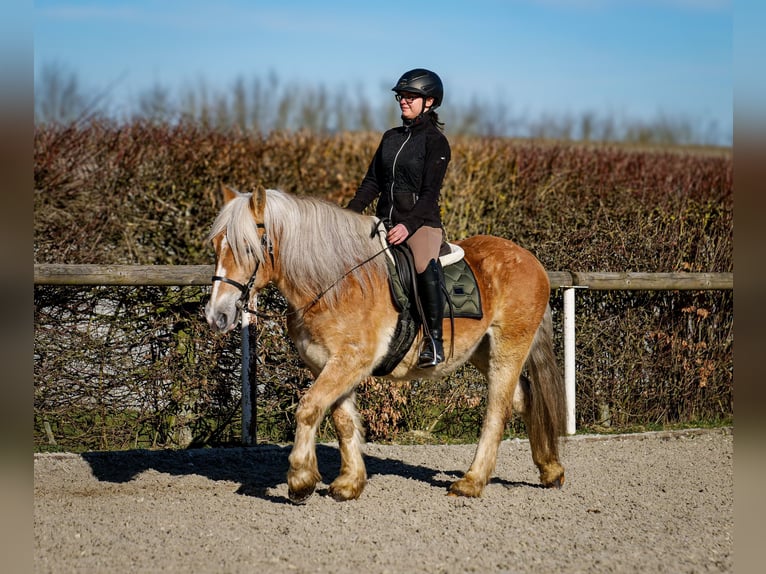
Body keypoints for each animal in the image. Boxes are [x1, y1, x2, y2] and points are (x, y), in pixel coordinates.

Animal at [207, 184, 568, 504]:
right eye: (216, 245)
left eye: (248, 248)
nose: (217, 314)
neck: (334, 284)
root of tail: (531, 260)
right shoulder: (327, 363)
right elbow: (342, 420)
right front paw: (349, 483)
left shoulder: (351, 360)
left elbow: (309, 408)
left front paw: (300, 480)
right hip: (482, 351)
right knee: (525, 397)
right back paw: (550, 469)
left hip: (509, 347)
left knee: (498, 409)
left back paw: (472, 481)